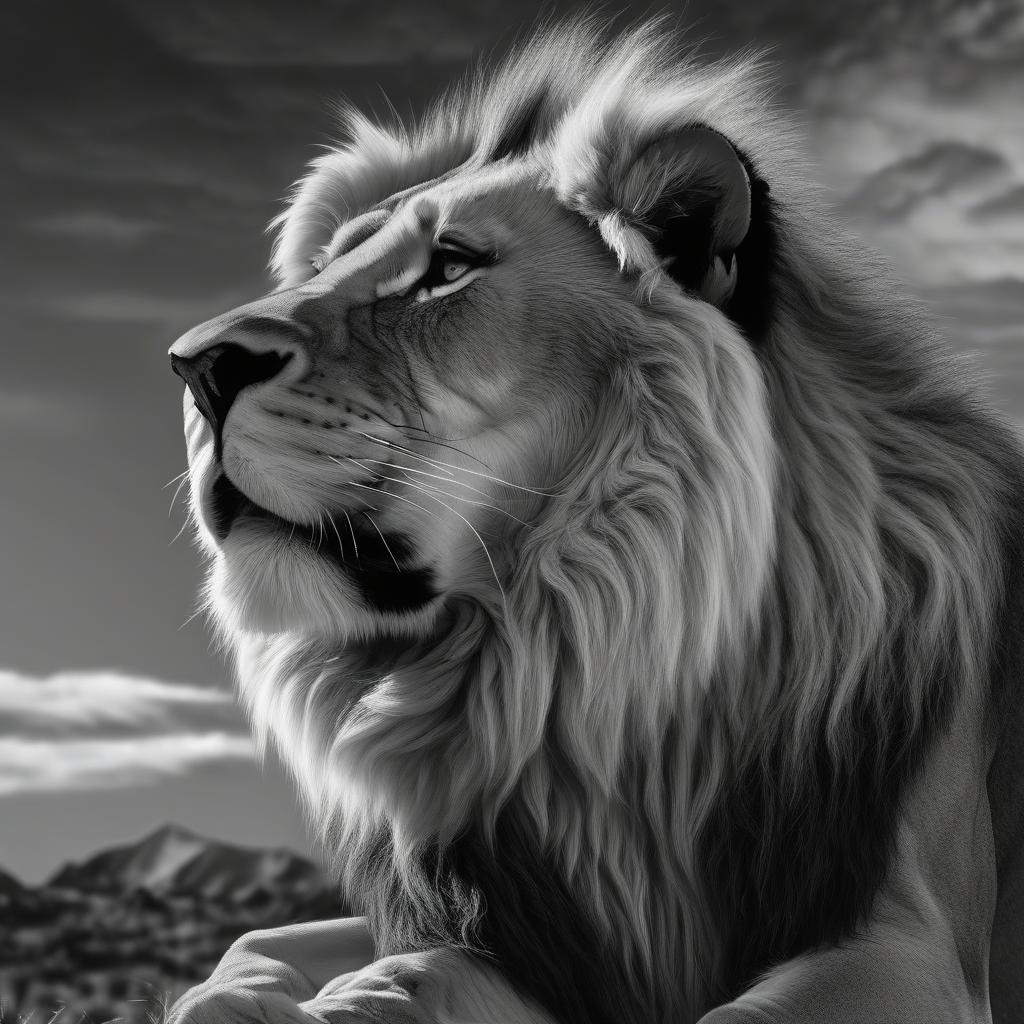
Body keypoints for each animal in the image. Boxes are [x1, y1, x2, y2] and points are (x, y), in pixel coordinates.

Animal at [166, 17, 1024, 1024]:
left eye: (446, 269)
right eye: (328, 263)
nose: (195, 365)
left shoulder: (923, 942)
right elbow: (293, 951)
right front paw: (258, 997)